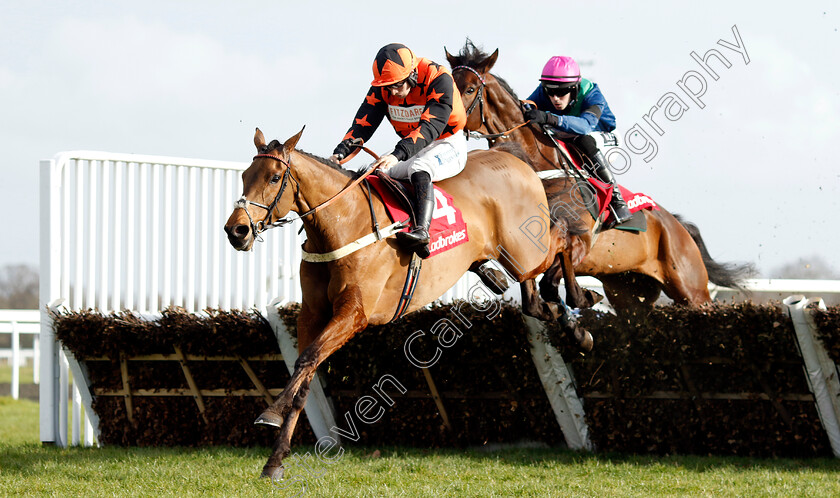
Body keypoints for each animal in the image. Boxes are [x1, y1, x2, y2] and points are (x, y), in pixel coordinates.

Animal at [226, 126, 560, 476]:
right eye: (246, 176)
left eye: (275, 178)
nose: (236, 230)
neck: (343, 224)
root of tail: (511, 156)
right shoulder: (312, 315)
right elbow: (306, 375)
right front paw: (275, 459)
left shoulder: (354, 314)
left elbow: (306, 361)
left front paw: (271, 412)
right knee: (532, 299)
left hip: (527, 251)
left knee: (561, 239)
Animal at [446, 43, 756, 316]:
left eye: (470, 89)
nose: (447, 122)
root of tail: (677, 225)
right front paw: (500, 281)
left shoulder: (581, 240)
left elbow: (553, 284)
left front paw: (580, 301)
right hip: (630, 293)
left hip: (691, 290)